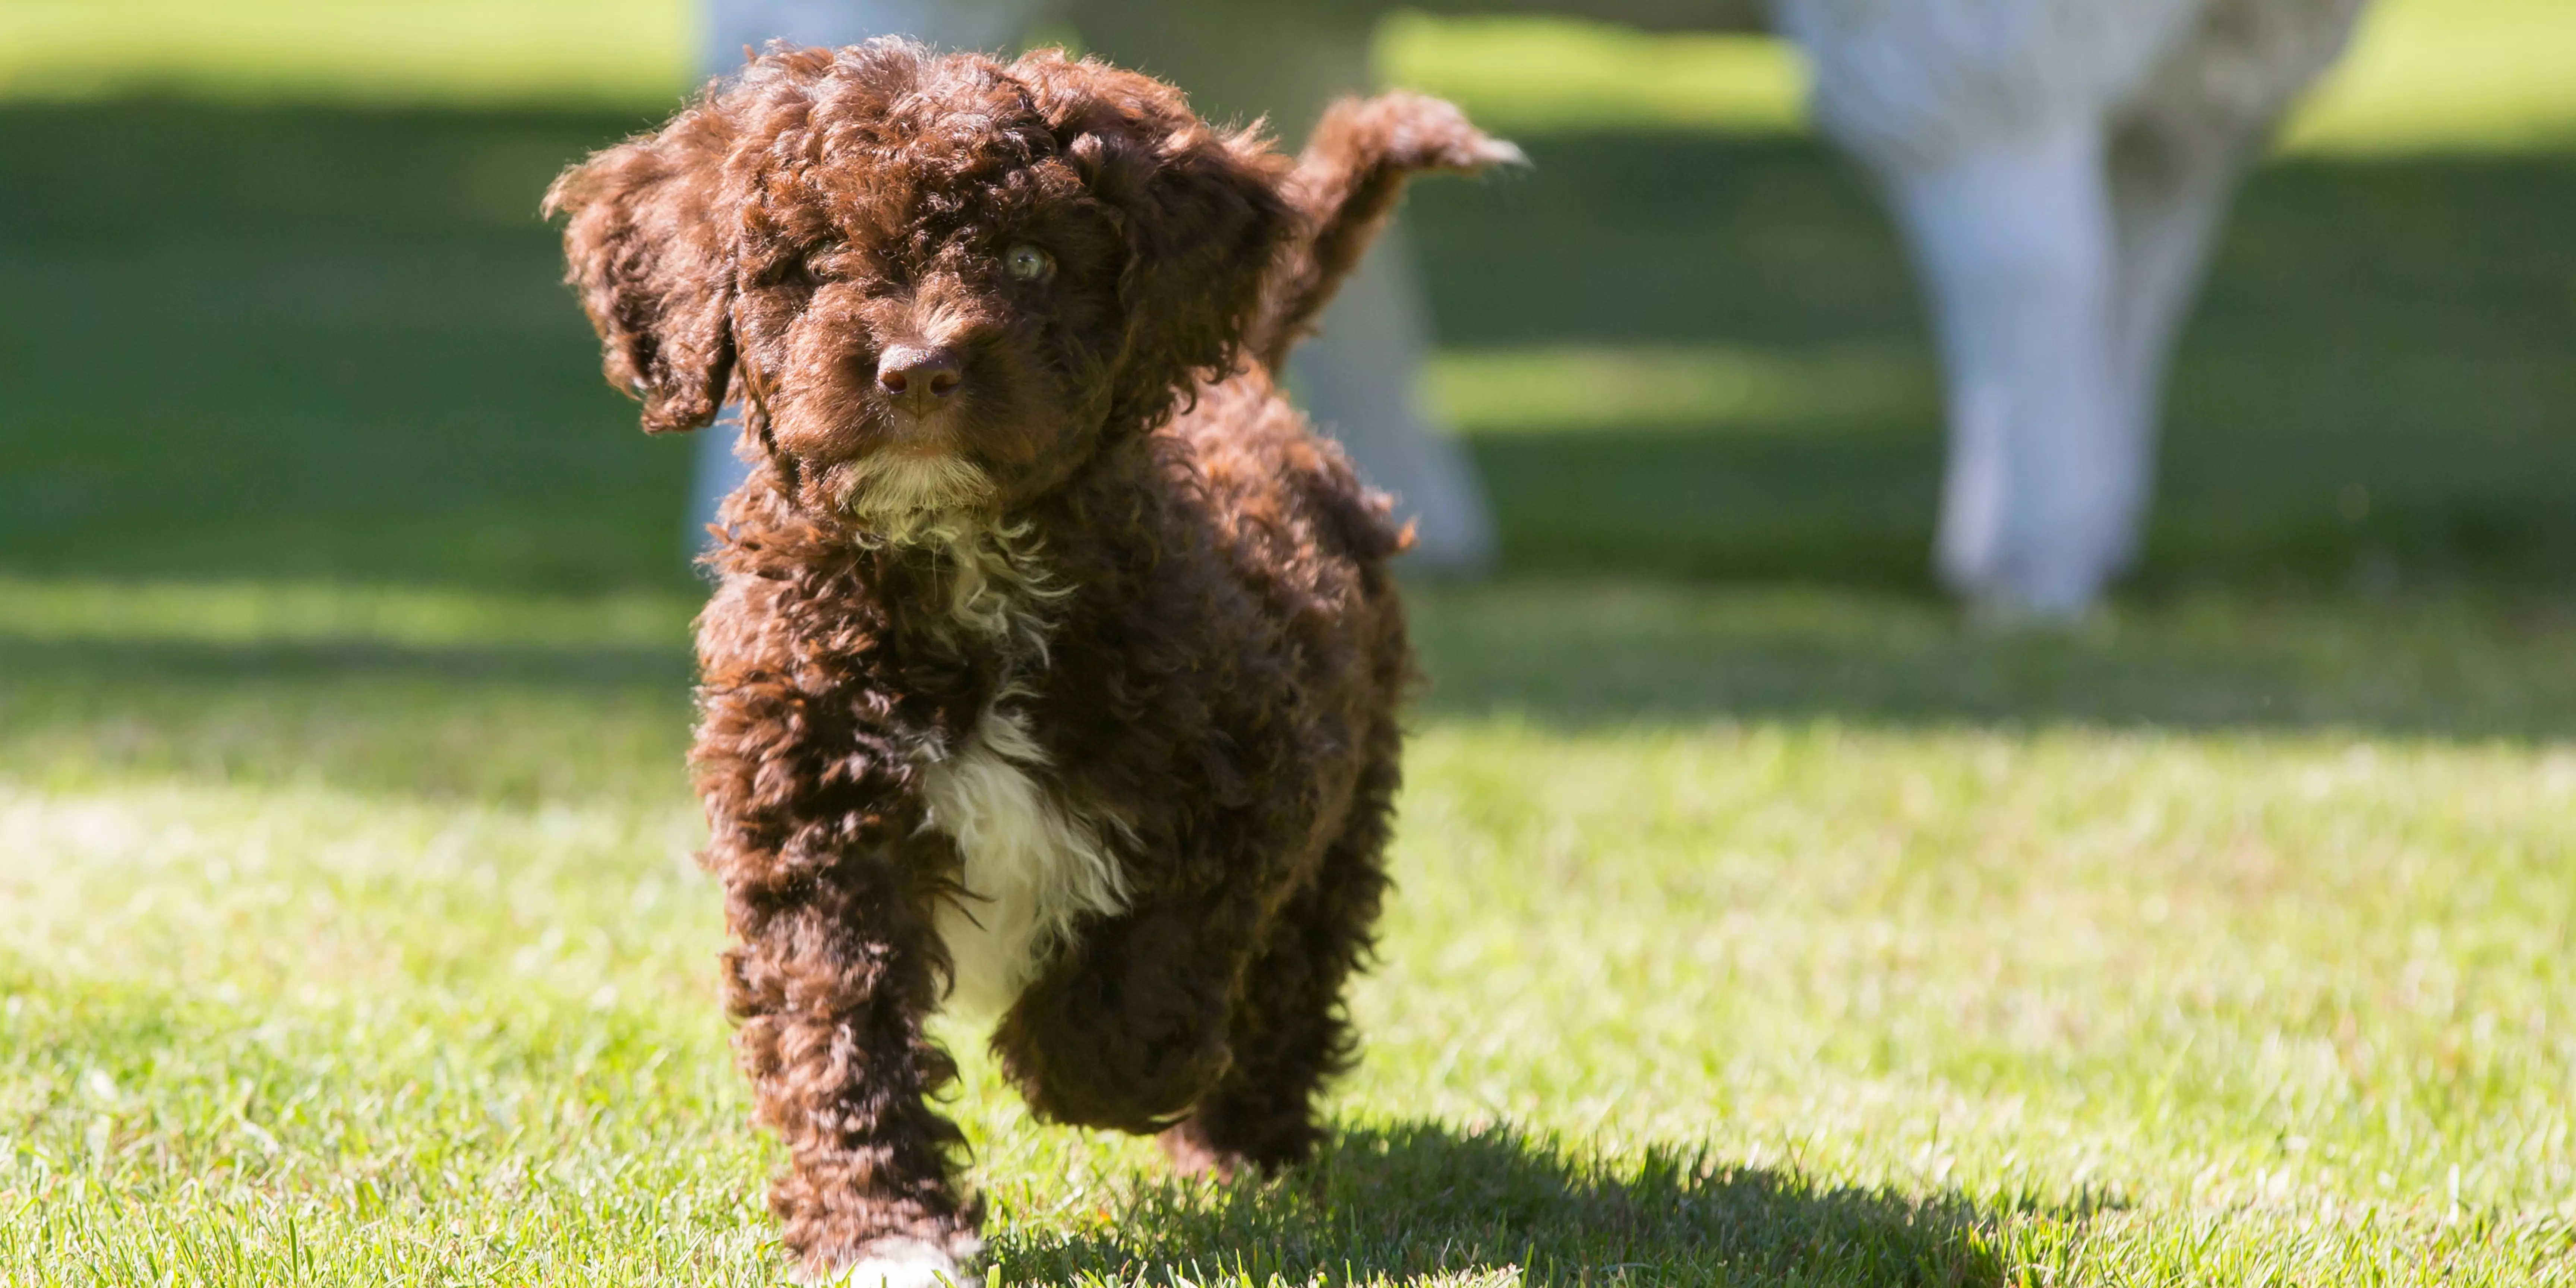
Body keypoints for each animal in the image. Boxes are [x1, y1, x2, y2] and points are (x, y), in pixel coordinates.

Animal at [543, 35, 1504, 1283]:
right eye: (814, 262)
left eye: (1030, 258)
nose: (916, 371)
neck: (960, 563)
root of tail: (1248, 379)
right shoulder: (811, 822)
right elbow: (834, 1032)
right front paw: (883, 1231)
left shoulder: (1252, 785)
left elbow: (1153, 979)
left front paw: (1070, 1063)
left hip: (1347, 809)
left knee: (1290, 989)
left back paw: (1240, 1153)